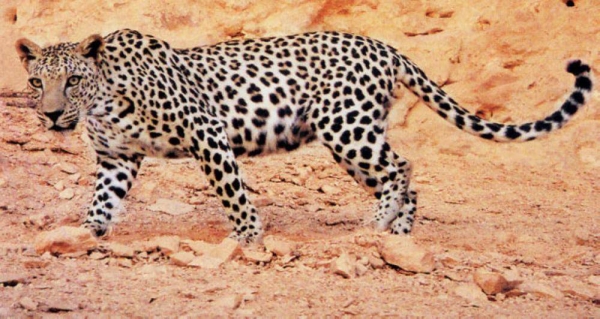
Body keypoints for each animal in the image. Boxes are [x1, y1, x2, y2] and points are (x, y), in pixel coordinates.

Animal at [16, 30, 592, 244]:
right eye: (38, 82)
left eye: (73, 80)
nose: (51, 115)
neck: (104, 101)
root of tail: (384, 46)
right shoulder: (116, 159)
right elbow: (102, 202)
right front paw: (86, 234)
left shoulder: (207, 132)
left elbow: (233, 193)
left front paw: (247, 240)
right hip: (354, 136)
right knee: (404, 176)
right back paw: (396, 233)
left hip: (348, 129)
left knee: (402, 168)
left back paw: (374, 228)